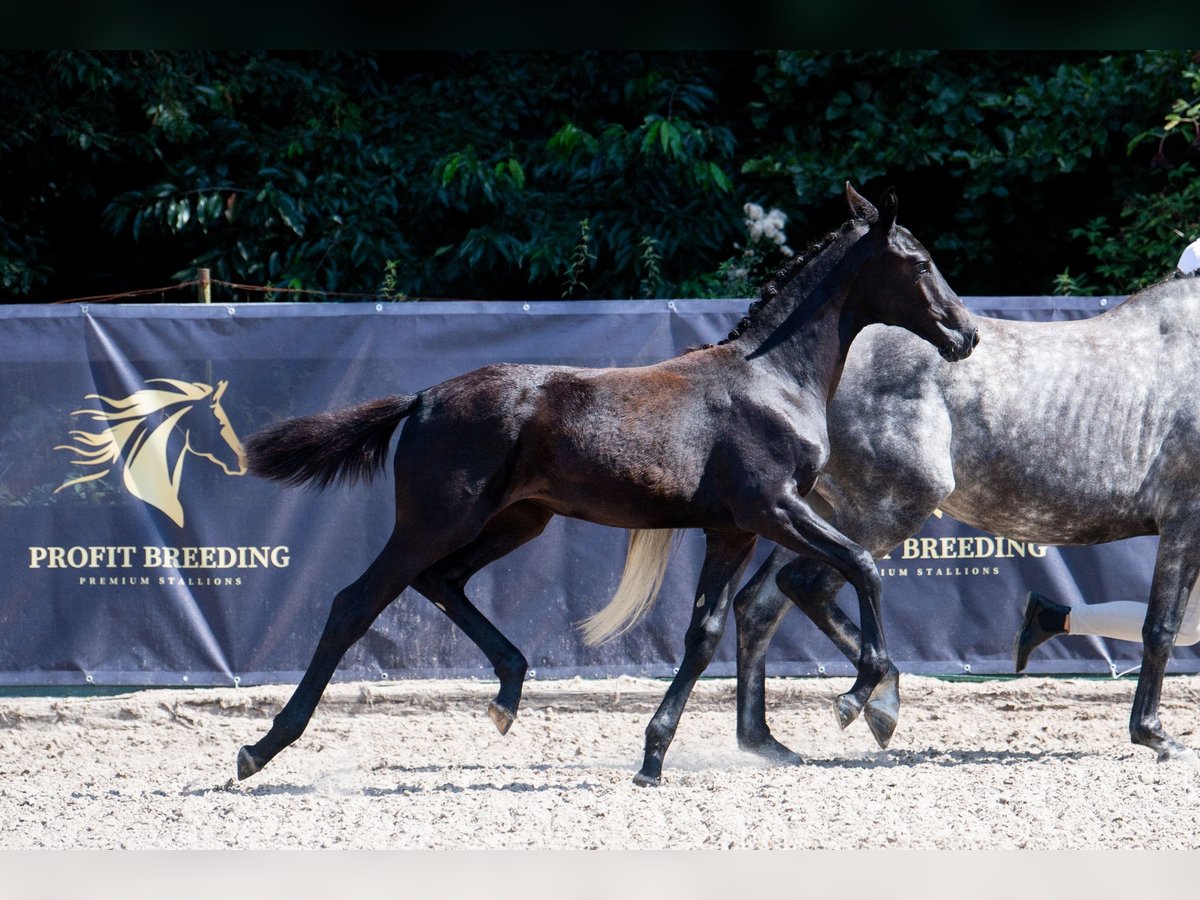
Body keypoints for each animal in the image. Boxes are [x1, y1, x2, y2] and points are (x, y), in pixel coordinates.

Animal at [236, 183, 978, 786]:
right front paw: (859, 699)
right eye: (918, 263)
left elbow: (703, 633)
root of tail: (420, 400)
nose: (966, 334)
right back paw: (260, 749)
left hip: (515, 521)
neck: (772, 378)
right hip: (435, 521)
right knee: (354, 604)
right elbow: (860, 566)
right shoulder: (774, 508)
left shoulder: (731, 530)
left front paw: (652, 757)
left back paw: (507, 695)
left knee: (442, 581)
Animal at [722, 272, 1200, 764]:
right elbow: (1161, 628)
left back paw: (764, 741)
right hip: (888, 510)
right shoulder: (1185, 521)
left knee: (758, 605)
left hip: (818, 513)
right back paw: (876, 701)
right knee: (807, 584)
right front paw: (1157, 737)